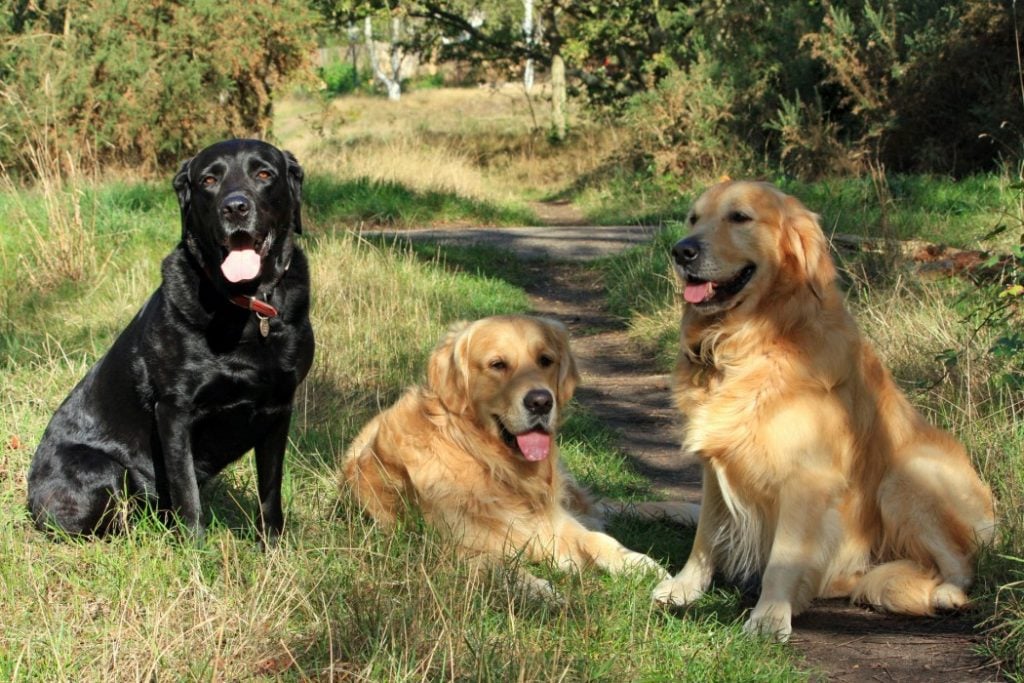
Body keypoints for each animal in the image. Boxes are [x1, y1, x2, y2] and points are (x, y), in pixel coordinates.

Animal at [29, 140, 315, 544]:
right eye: (209, 179)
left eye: (264, 174)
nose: (235, 206)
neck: (247, 306)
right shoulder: (174, 411)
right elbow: (186, 491)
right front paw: (196, 549)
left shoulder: (279, 407)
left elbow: (270, 490)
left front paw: (273, 546)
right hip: (104, 469)